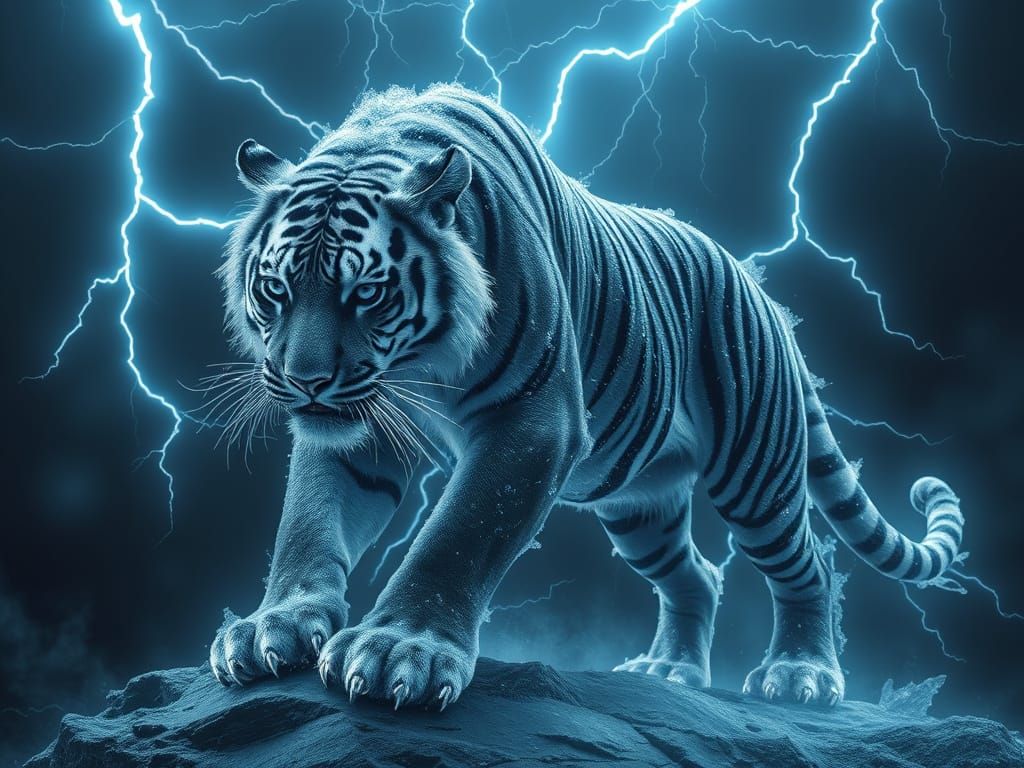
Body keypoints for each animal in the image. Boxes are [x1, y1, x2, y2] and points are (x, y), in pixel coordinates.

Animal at [209, 83, 964, 710]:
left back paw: (801, 674)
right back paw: (669, 672)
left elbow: (456, 533)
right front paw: (271, 627)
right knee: (696, 576)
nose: (305, 380)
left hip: (756, 474)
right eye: (275, 287)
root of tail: (763, 293)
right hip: (640, 506)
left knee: (811, 566)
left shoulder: (534, 420)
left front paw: (400, 651)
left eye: (365, 292)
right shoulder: (357, 422)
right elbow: (309, 521)